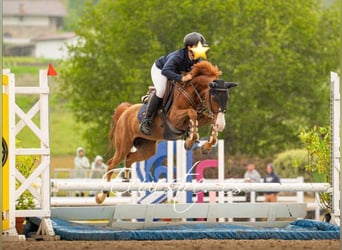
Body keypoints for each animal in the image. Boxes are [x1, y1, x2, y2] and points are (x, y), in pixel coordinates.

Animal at [95, 60, 236, 203]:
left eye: (227, 98)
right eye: (214, 98)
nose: (221, 125)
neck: (191, 93)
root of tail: (125, 111)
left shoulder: (202, 116)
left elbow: (208, 119)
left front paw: (206, 145)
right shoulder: (174, 119)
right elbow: (192, 113)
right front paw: (190, 141)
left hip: (147, 148)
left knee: (129, 158)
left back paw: (125, 181)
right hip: (123, 144)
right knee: (112, 162)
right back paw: (102, 195)